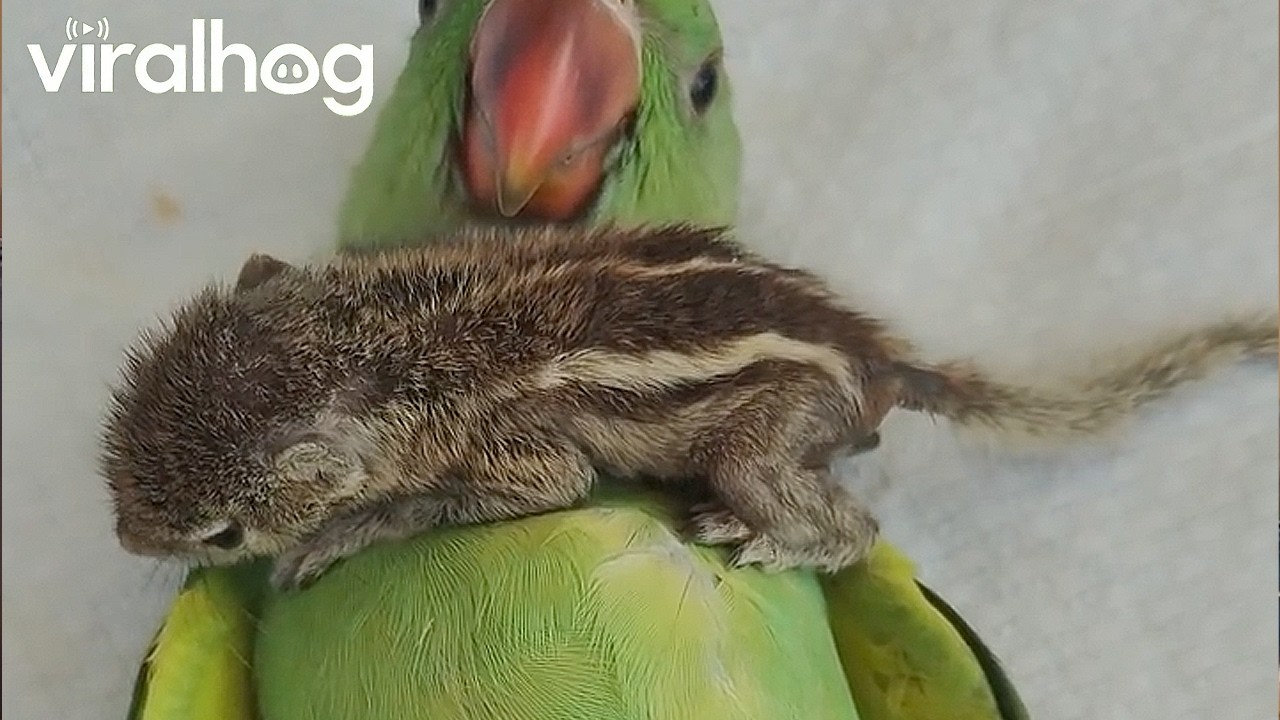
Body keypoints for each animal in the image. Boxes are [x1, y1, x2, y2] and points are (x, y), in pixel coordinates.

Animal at [98, 223, 1278, 590]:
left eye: (218, 532)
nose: (123, 540)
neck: (379, 337)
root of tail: (881, 358)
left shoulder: (524, 455)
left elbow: (500, 492)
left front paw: (335, 535)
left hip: (770, 438)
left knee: (853, 521)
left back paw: (771, 538)